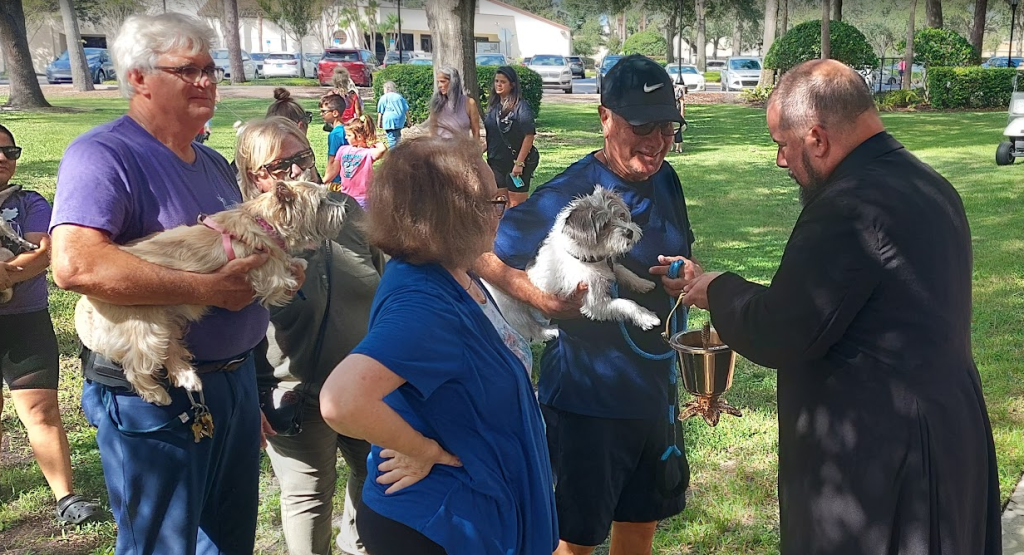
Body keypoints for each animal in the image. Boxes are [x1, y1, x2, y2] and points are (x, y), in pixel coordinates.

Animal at [74, 180, 346, 405]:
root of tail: (90, 301)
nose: (343, 210)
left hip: (167, 323)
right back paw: (156, 394)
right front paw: (296, 264)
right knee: (137, 366)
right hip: (146, 329)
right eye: (321, 203)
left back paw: (188, 377)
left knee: (171, 351)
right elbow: (281, 275)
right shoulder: (267, 274)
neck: (263, 221)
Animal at [486, 185, 660, 343]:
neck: (586, 259)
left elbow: (625, 272)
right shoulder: (595, 303)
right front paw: (647, 317)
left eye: (621, 215)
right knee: (531, 328)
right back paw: (549, 332)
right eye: (604, 225)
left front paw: (643, 283)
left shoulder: (610, 266)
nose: (630, 232)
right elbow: (625, 303)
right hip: (514, 312)